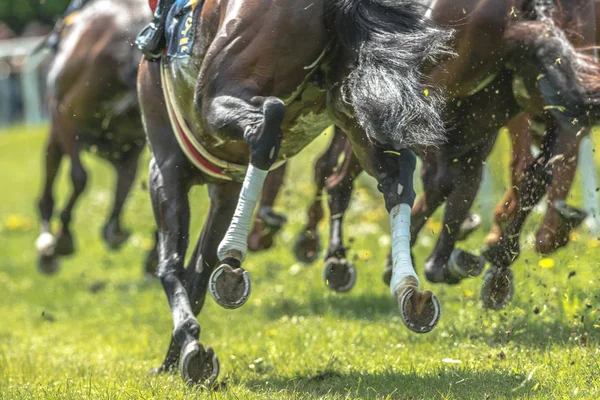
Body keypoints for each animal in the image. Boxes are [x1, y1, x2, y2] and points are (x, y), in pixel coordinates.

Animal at [34, 0, 157, 274]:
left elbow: (124, 185)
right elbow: (80, 177)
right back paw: (47, 245)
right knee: (50, 182)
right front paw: (62, 237)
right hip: (59, 133)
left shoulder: (131, 145)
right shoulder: (66, 119)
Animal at [138, 0, 452, 384]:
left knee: (267, 122)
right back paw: (408, 287)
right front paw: (179, 353)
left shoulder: (166, 169)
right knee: (398, 173)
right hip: (353, 110)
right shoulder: (225, 189)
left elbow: (171, 265)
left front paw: (185, 347)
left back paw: (233, 259)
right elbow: (196, 271)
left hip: (215, 95)